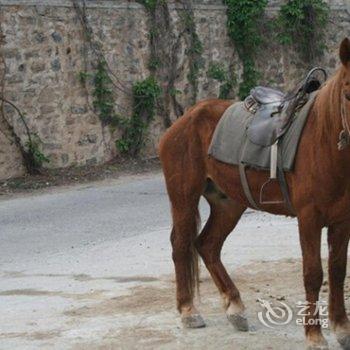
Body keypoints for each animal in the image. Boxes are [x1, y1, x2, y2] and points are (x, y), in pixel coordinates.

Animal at [161, 38, 350, 350]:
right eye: (347, 92)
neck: (322, 141)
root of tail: (185, 118)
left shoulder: (341, 222)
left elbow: (337, 272)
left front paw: (342, 329)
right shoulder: (309, 219)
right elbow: (313, 274)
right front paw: (314, 336)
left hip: (228, 204)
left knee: (207, 245)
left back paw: (235, 308)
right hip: (183, 197)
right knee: (181, 244)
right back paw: (188, 311)